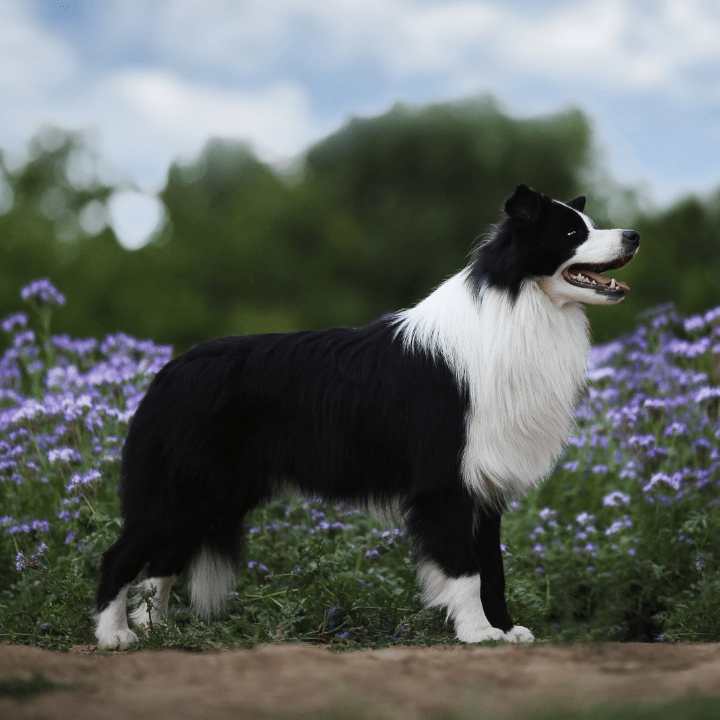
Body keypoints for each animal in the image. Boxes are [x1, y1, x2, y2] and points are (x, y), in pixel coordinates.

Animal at [93, 184, 640, 648]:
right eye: (571, 233)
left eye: (589, 224)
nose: (634, 235)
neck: (519, 302)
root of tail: (169, 369)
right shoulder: (445, 483)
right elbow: (465, 570)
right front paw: (476, 634)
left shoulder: (484, 487)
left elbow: (493, 568)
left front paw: (505, 631)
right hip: (180, 487)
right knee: (119, 556)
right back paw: (115, 637)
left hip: (210, 492)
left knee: (161, 565)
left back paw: (158, 631)